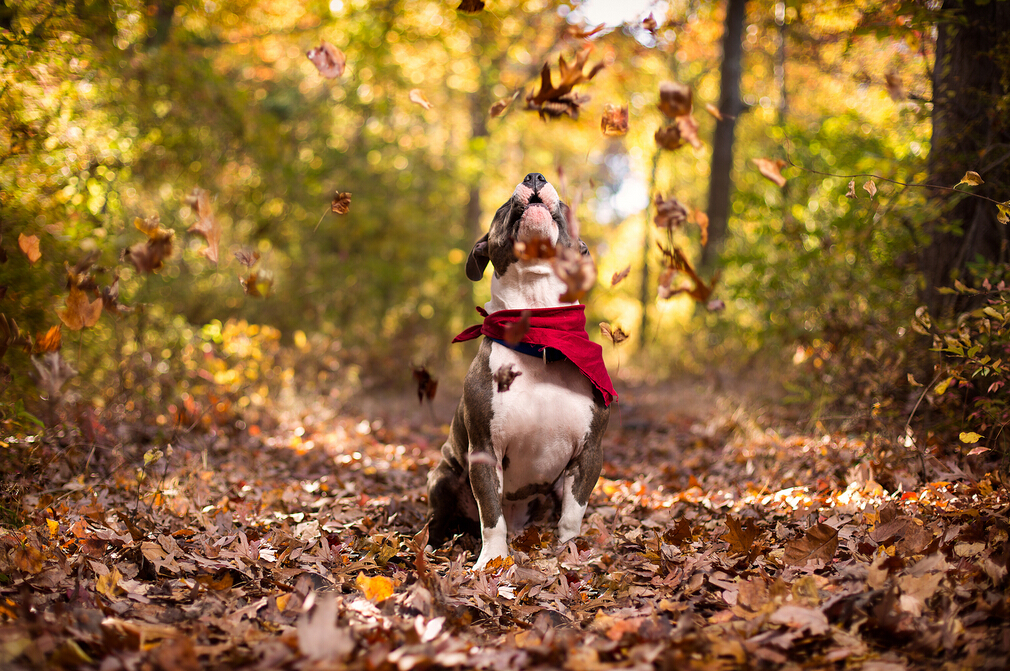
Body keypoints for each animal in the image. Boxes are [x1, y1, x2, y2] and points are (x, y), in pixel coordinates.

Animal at [422, 171, 610, 565]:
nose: (535, 175)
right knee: (440, 518)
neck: (540, 336)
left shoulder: (590, 453)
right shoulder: (484, 450)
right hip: (444, 474)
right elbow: (491, 516)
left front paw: (568, 551)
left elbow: (573, 514)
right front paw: (492, 560)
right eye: (503, 207)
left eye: (564, 205)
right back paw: (430, 544)